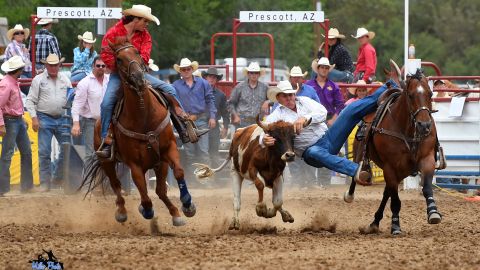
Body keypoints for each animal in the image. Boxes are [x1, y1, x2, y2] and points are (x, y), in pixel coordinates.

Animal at [81, 40, 196, 226]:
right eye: (118, 59)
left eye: (136, 52)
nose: (138, 78)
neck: (144, 116)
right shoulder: (134, 164)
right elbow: (143, 193)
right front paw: (146, 210)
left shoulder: (169, 148)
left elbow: (178, 171)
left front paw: (187, 205)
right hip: (107, 161)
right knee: (116, 184)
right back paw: (122, 212)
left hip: (159, 163)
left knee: (160, 190)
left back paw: (176, 213)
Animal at [344, 60, 442, 234]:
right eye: (410, 95)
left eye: (430, 94)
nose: (424, 125)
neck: (407, 131)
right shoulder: (390, 167)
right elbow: (395, 200)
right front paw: (396, 225)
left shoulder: (427, 159)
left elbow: (427, 188)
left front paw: (433, 212)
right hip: (361, 157)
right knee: (358, 177)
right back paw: (351, 196)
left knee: (386, 193)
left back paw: (375, 221)